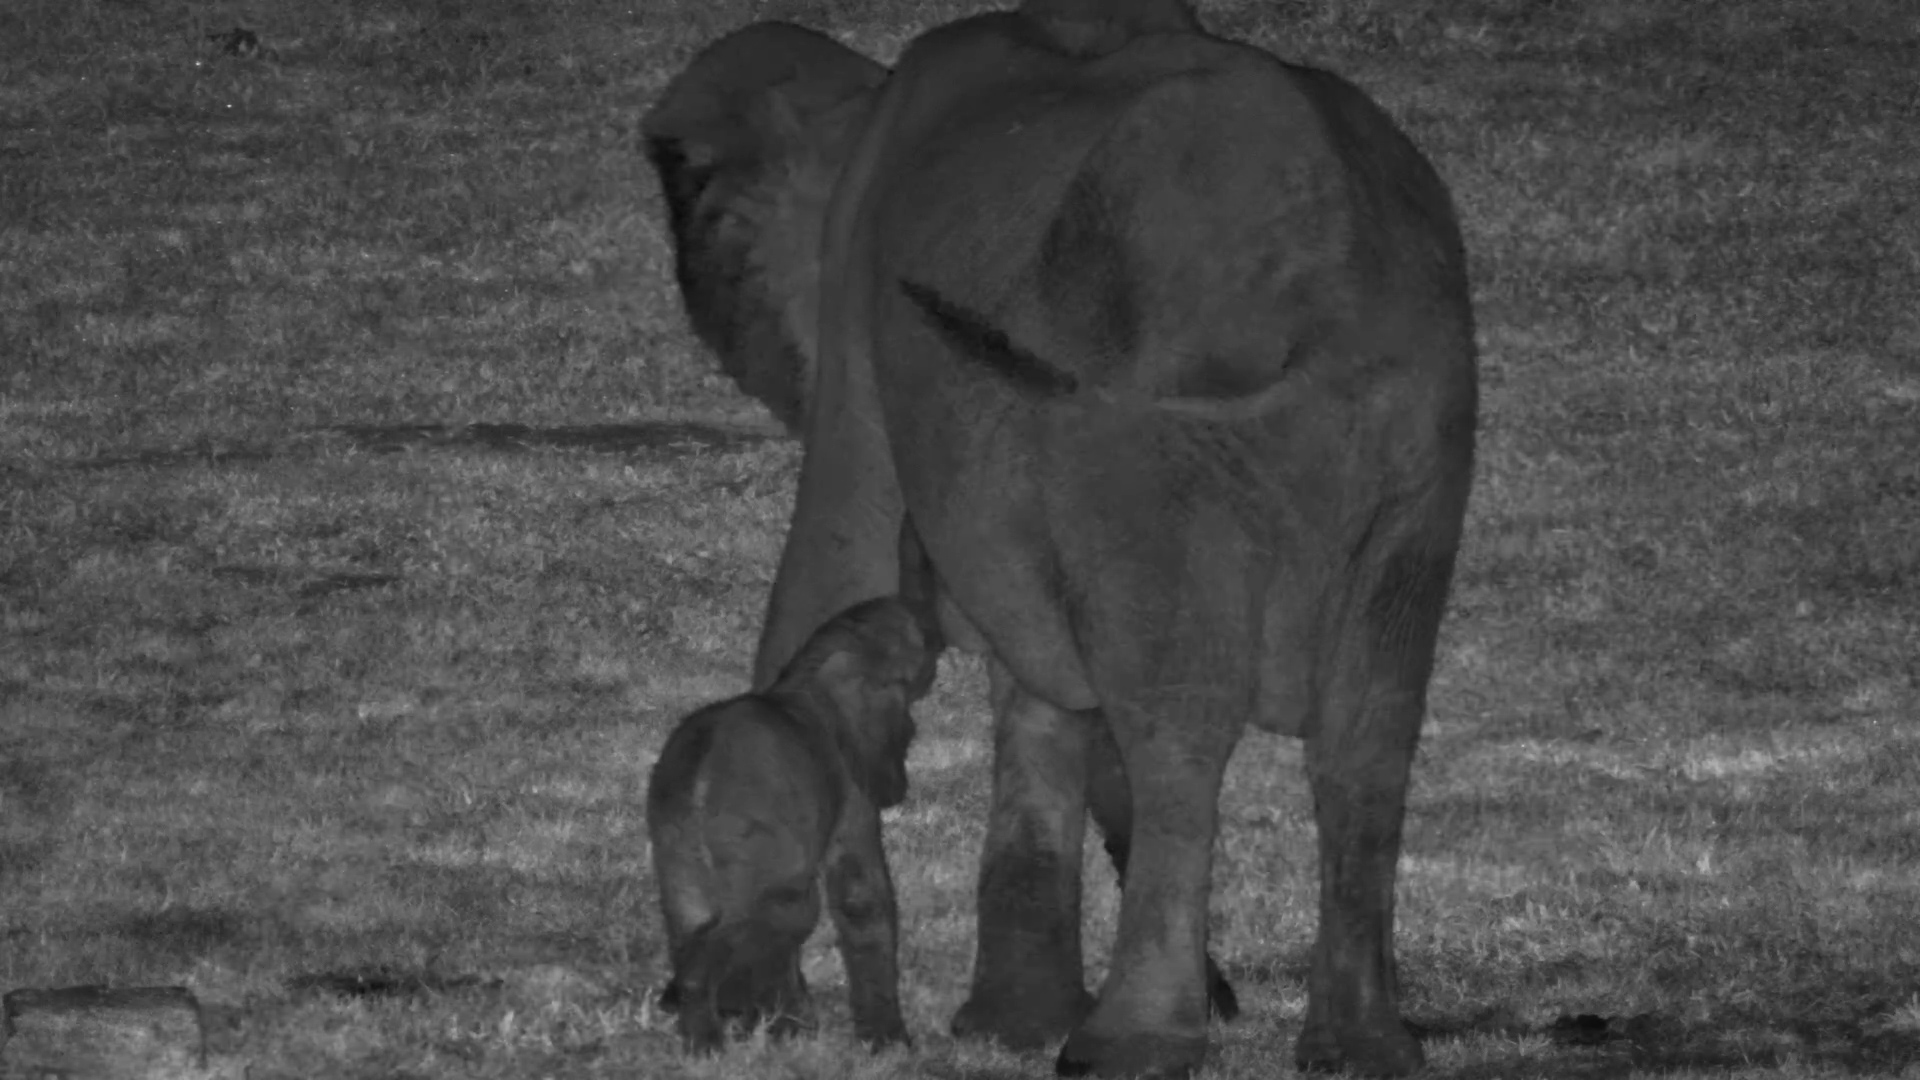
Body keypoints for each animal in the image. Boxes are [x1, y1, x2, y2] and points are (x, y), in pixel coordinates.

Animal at [647, 595, 937, 1052]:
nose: (913, 728)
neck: (809, 672)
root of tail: (700, 775)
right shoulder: (852, 781)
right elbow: (860, 895)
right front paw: (888, 1041)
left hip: (673, 838)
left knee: (691, 919)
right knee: (785, 912)